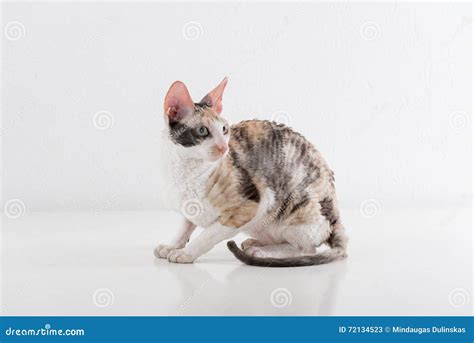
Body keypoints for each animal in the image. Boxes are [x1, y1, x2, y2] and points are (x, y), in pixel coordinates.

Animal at [156, 78, 348, 268]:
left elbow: (207, 236)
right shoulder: (188, 206)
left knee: (307, 249)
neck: (185, 169)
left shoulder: (250, 207)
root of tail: (336, 215)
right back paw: (256, 243)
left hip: (296, 204)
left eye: (224, 129)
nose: (224, 147)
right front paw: (172, 246)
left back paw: (262, 252)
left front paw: (186, 253)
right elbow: (184, 227)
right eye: (202, 131)